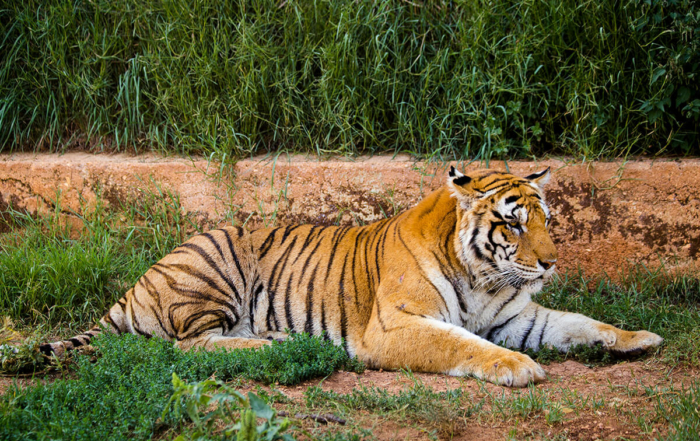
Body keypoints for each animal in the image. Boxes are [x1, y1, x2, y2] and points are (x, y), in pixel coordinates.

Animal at [40, 167, 663, 387]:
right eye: (512, 223)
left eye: (547, 220)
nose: (551, 262)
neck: (486, 280)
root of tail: (135, 287)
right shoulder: (394, 327)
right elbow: (461, 344)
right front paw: (515, 367)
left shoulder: (519, 317)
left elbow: (580, 322)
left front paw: (638, 338)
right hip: (212, 269)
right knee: (185, 347)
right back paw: (272, 345)